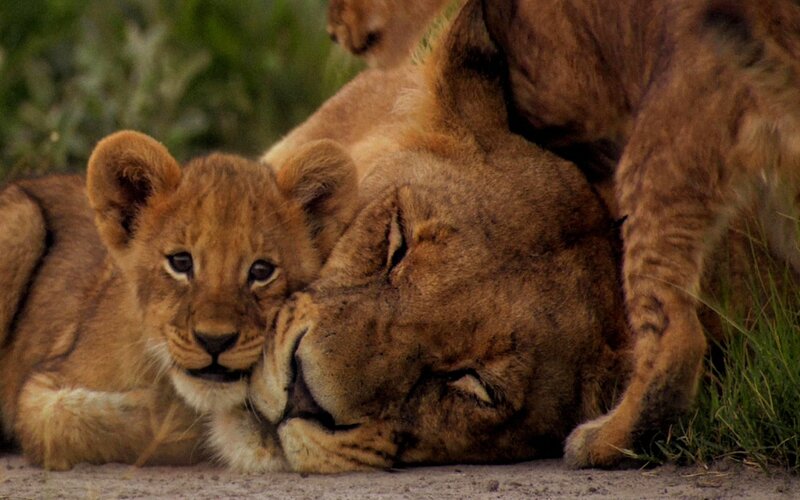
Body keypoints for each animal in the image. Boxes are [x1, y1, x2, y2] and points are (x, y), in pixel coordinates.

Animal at [0, 131, 356, 470]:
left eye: (261, 270)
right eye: (181, 262)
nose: (215, 341)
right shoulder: (41, 386)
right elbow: (76, 420)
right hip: (22, 218)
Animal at [326, 0, 800, 467]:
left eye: (477, 385)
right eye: (396, 244)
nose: (333, 31)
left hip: (662, 148)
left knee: (675, 334)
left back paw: (597, 440)